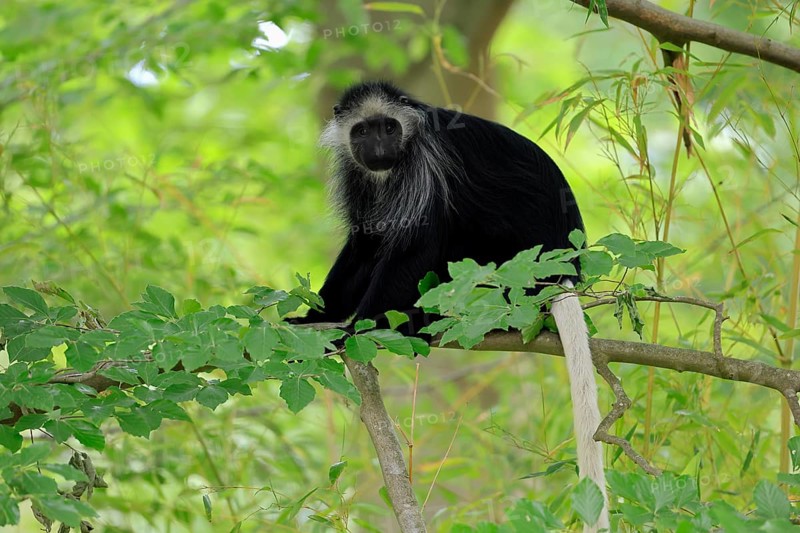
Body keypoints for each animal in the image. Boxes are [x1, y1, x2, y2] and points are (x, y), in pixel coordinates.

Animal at [292, 81, 609, 531]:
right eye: (362, 131)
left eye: (389, 128)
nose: (378, 148)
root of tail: (564, 269)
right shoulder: (357, 175)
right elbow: (366, 242)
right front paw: (319, 317)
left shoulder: (426, 165)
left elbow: (414, 245)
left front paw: (357, 329)